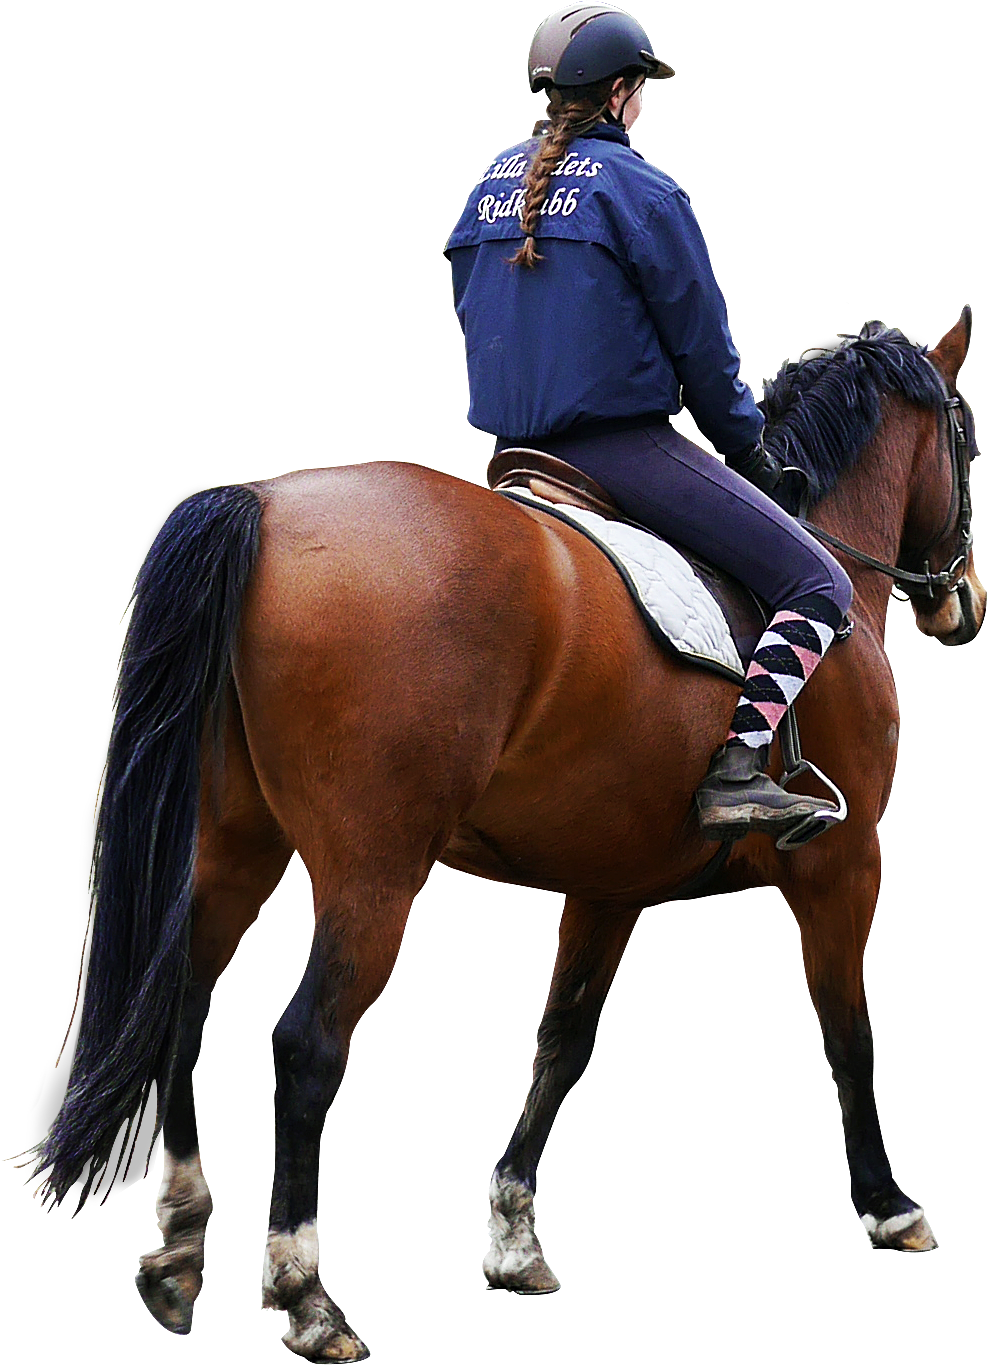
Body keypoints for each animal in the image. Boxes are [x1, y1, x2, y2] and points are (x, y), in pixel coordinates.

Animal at [12, 308, 981, 1361]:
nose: (964, 600)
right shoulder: (847, 866)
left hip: (234, 845)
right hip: (373, 871)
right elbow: (849, 1029)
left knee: (185, 1009)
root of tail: (265, 506)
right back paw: (309, 1296)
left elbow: (562, 1040)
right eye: (968, 441)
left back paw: (181, 1251)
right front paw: (892, 1205)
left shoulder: (610, 884)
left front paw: (515, 1240)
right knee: (308, 1043)